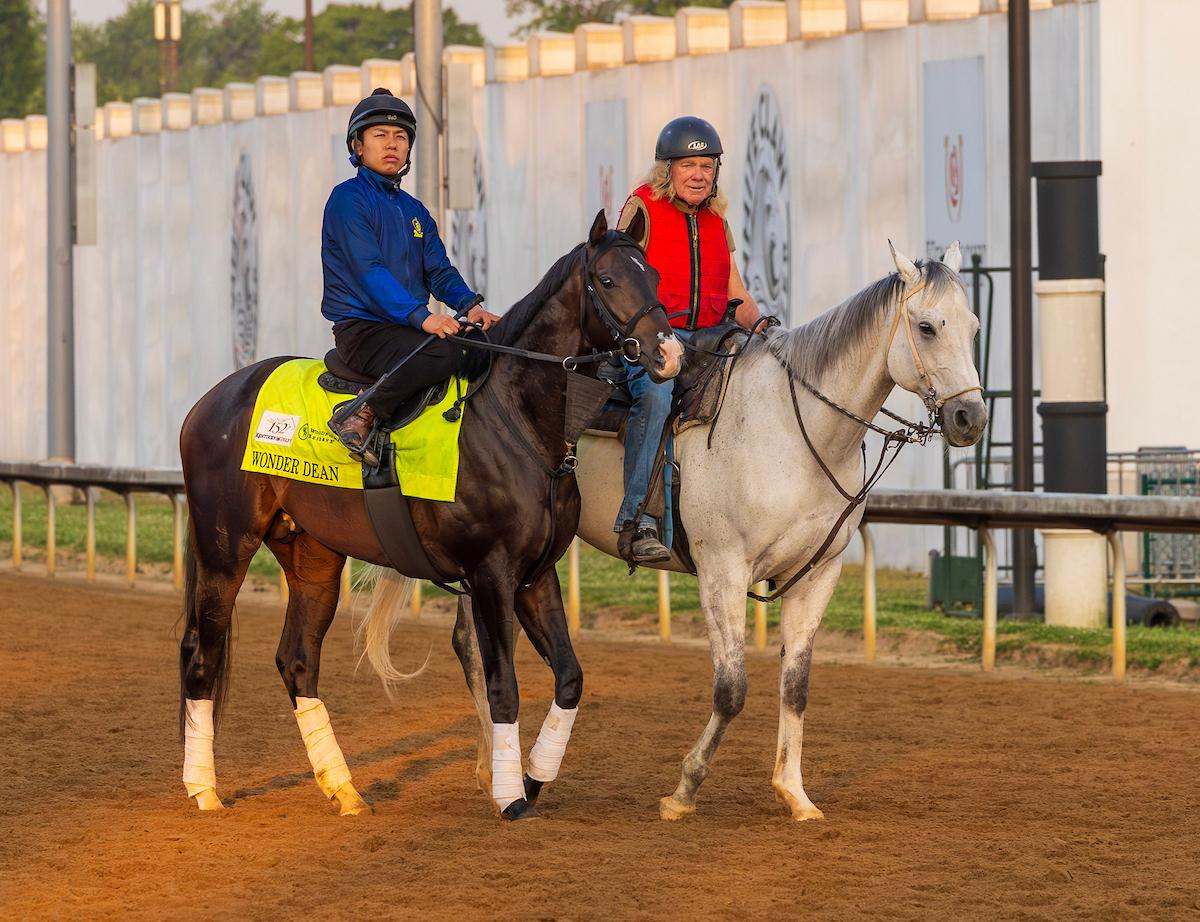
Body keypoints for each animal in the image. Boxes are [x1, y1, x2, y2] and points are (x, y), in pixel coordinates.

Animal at [177, 209, 683, 820]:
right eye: (607, 280)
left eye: (654, 276)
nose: (669, 354)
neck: (513, 419)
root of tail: (211, 401)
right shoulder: (491, 574)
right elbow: (503, 685)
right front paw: (511, 795)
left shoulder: (536, 576)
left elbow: (569, 677)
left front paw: (534, 777)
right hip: (225, 549)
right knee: (201, 653)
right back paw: (204, 789)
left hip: (313, 556)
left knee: (297, 660)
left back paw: (344, 789)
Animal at [449, 240, 987, 821]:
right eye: (927, 326)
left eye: (975, 326)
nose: (970, 418)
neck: (791, 428)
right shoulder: (723, 571)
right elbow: (731, 689)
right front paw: (684, 791)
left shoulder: (817, 575)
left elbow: (795, 686)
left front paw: (795, 793)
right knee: (475, 651)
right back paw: (493, 775)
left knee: (470, 645)